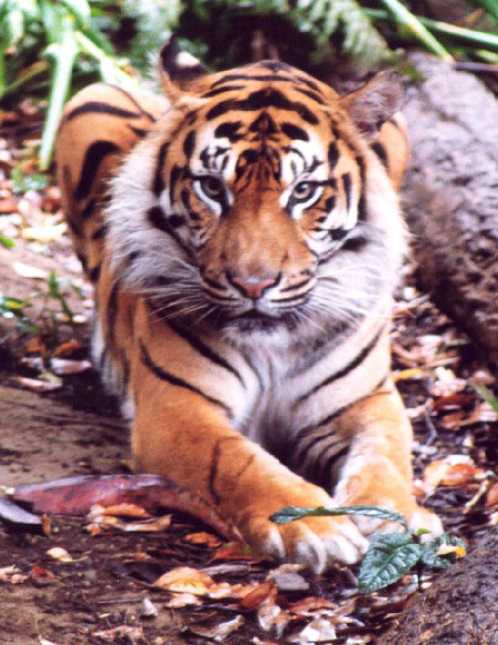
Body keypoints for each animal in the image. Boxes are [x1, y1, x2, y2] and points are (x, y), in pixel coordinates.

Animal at [55, 38, 442, 573]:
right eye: (212, 187)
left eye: (304, 191)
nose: (252, 284)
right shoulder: (176, 408)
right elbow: (238, 461)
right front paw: (313, 525)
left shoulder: (367, 400)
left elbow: (385, 457)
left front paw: (394, 517)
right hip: (89, 96)